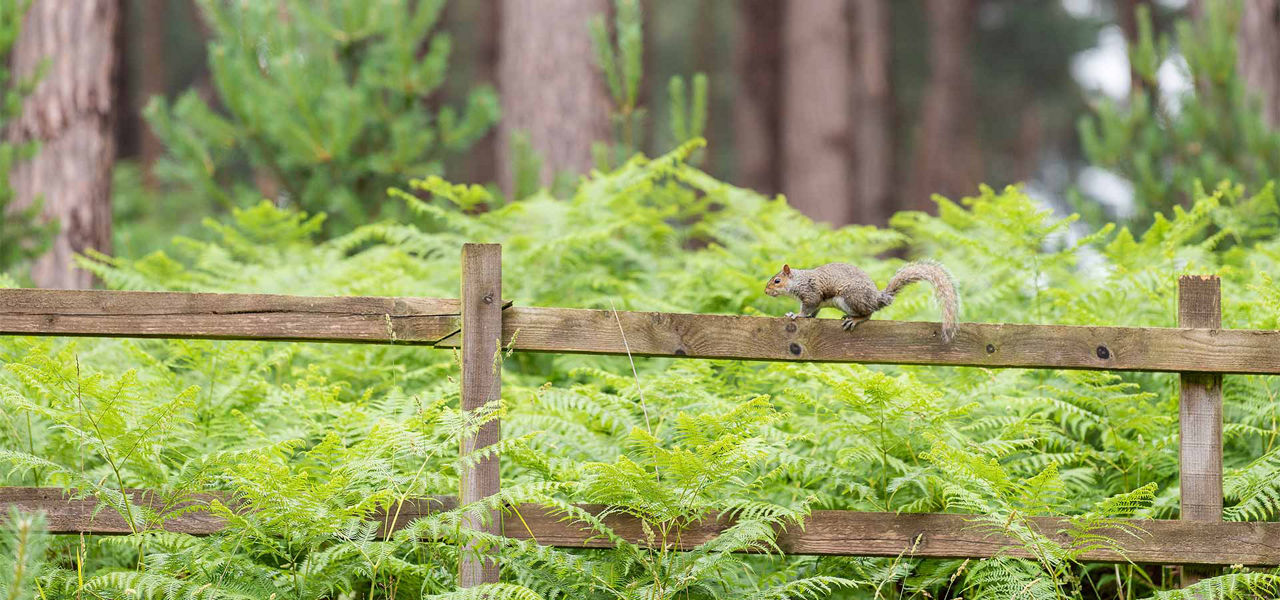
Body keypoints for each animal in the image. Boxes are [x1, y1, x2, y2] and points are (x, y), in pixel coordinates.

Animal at [764, 261, 960, 342]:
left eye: (777, 281)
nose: (766, 291)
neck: (798, 281)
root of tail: (876, 299)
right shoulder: (817, 302)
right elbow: (814, 312)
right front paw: (806, 317)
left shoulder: (811, 293)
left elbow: (807, 308)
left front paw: (796, 315)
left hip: (851, 297)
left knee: (868, 314)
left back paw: (855, 319)